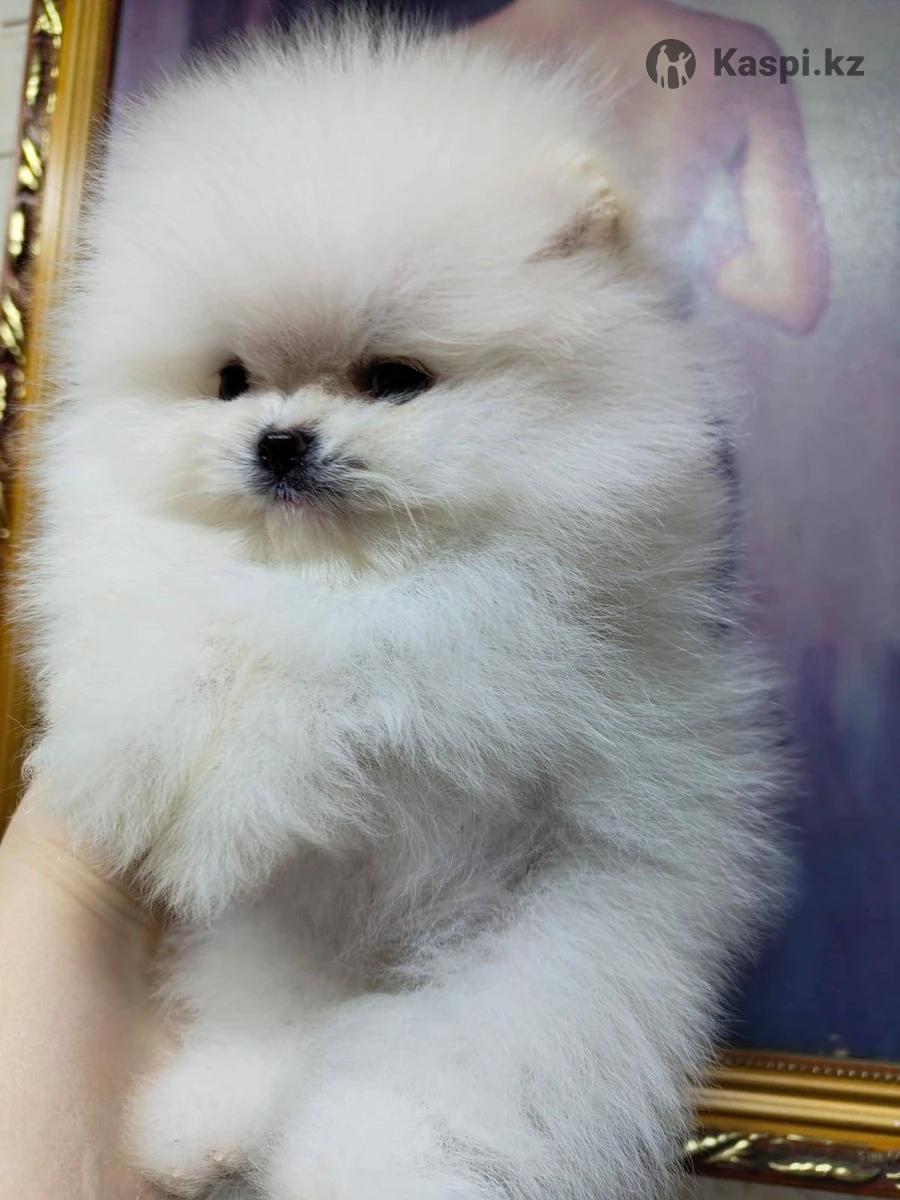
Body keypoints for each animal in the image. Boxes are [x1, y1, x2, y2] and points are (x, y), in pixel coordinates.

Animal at [23, 19, 784, 1200]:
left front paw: (254, 747)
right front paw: (137, 754)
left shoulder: (521, 653)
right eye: (231, 380)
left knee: (436, 1093)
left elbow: (362, 664)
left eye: (394, 379)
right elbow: (166, 624)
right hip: (283, 938)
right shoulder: (139, 561)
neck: (333, 568)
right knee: (271, 1027)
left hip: (545, 971)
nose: (278, 441)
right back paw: (210, 1122)